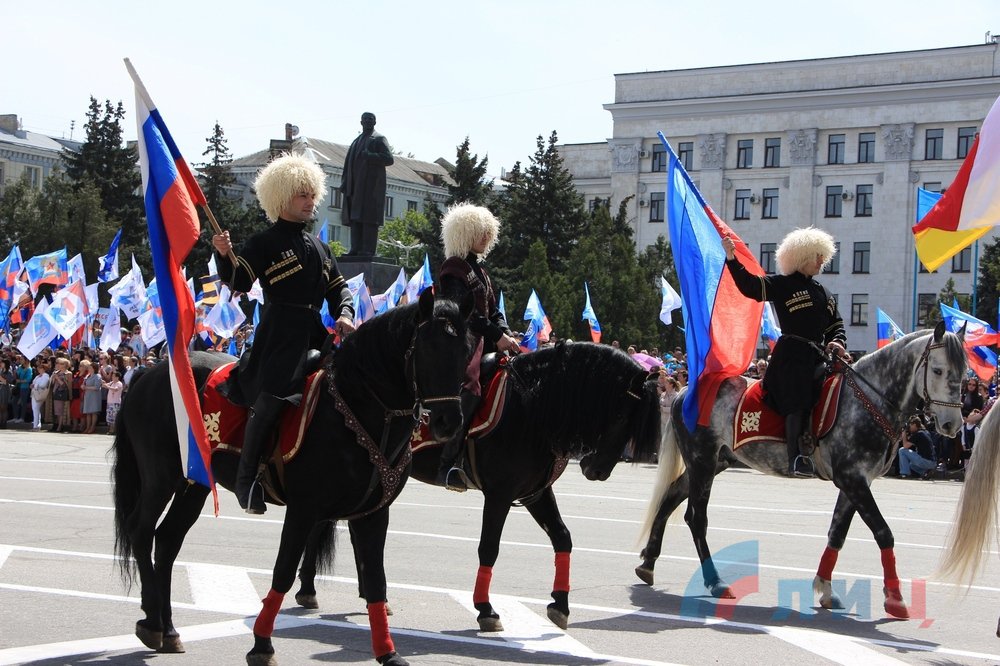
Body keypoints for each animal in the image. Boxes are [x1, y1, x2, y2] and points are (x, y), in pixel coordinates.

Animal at [111, 290, 470, 664]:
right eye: (428, 348)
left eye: (467, 350)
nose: (449, 422)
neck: (357, 412)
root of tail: (148, 372)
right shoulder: (303, 509)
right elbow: (283, 571)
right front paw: (261, 644)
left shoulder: (372, 514)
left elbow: (376, 580)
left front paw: (388, 652)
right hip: (160, 477)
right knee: (141, 531)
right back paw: (152, 621)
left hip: (194, 484)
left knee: (167, 541)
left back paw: (168, 630)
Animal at [292, 342, 660, 632]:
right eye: (621, 416)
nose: (596, 470)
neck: (530, 407)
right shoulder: (499, 495)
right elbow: (489, 548)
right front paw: (486, 610)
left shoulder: (535, 493)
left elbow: (562, 538)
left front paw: (560, 604)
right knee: (319, 524)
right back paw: (309, 589)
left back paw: (367, 596)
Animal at [636, 322, 964, 616]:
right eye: (938, 370)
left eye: (963, 372)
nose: (952, 425)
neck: (869, 401)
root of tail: (684, 392)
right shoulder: (852, 479)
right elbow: (883, 532)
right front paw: (895, 599)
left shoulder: (856, 481)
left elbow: (837, 533)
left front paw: (826, 589)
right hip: (702, 461)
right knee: (696, 518)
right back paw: (715, 581)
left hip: (712, 462)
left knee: (669, 498)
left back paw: (648, 563)